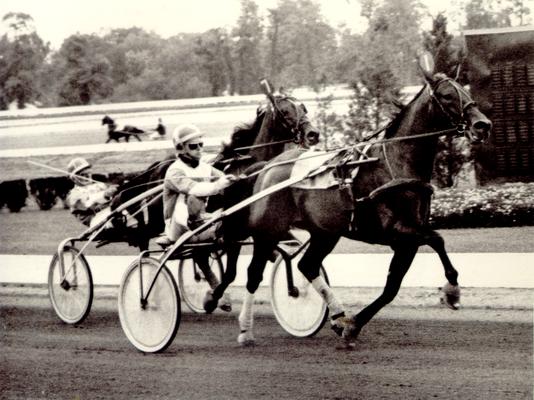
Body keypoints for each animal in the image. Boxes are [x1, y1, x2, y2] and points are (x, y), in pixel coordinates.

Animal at [230, 67, 494, 346]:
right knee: (254, 274)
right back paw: (245, 330)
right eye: (446, 95)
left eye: (465, 90)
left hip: (325, 232)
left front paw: (352, 325)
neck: (395, 163)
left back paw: (337, 316)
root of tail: (268, 166)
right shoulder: (395, 230)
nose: (482, 125)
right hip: (267, 231)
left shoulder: (405, 242)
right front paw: (452, 292)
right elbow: (437, 239)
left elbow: (391, 289)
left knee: (307, 266)